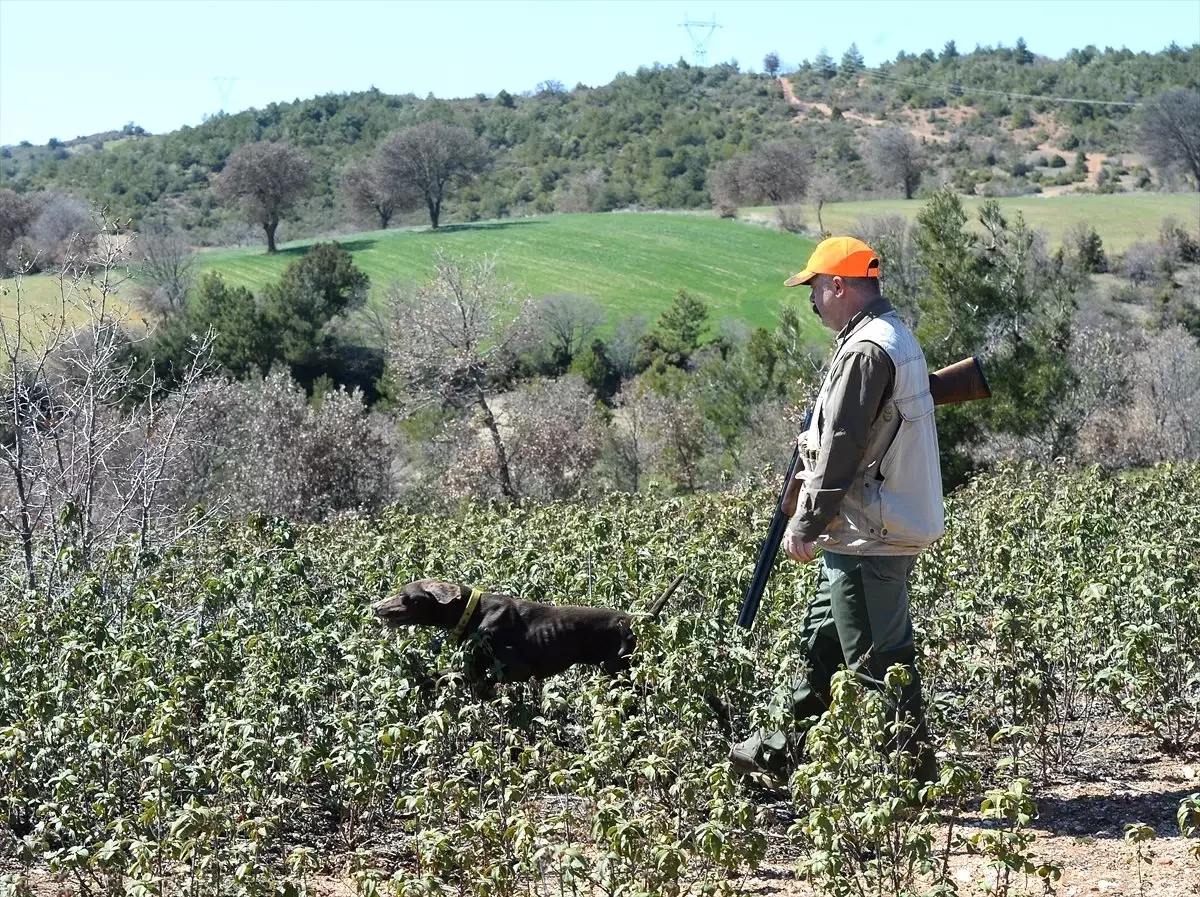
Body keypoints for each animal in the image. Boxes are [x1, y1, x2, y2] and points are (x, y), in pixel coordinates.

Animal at [369, 578, 681, 681]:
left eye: (405, 596)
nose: (374, 607)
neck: (472, 612)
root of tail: (633, 619)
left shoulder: (515, 669)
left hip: (618, 669)